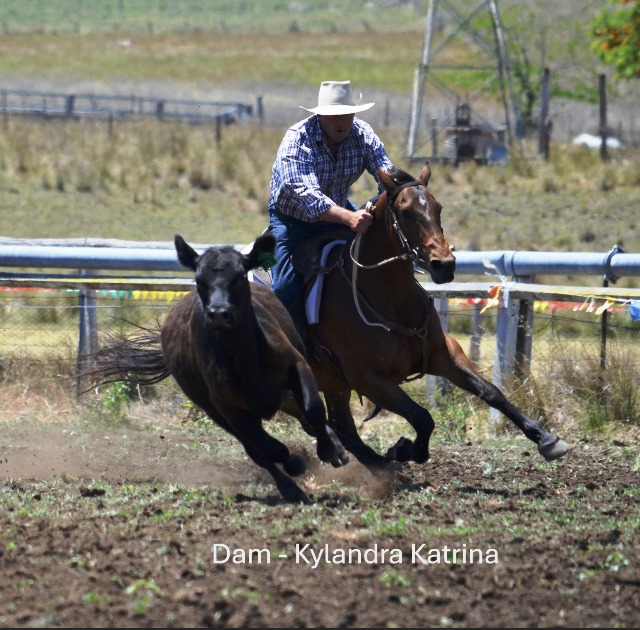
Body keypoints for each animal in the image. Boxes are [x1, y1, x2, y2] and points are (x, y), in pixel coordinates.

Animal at [87, 232, 348, 503]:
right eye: (200, 279)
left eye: (240, 275)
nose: (219, 313)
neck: (246, 359)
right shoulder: (225, 406)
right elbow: (266, 447)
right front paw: (296, 463)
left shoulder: (297, 366)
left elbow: (313, 409)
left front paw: (331, 450)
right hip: (214, 410)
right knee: (256, 449)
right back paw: (291, 488)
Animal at [290, 162, 569, 469]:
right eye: (405, 211)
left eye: (438, 207)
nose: (444, 265)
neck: (391, 301)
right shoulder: (368, 378)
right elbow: (423, 418)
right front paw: (405, 449)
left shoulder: (444, 353)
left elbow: (491, 392)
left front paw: (546, 438)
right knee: (326, 425)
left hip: (333, 384)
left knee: (342, 427)